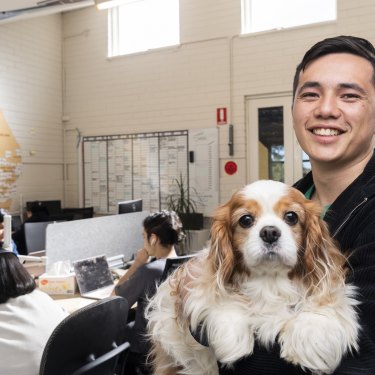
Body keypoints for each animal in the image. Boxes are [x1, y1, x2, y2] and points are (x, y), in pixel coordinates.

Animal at [145, 181, 360, 374]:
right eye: (246, 220)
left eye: (291, 217)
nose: (270, 232)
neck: (270, 280)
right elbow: (217, 297)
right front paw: (232, 339)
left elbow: (325, 303)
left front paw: (309, 337)